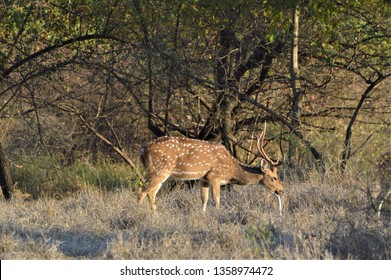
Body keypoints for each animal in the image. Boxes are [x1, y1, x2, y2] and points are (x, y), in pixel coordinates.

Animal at [139, 122, 284, 212]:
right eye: (274, 177)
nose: (281, 191)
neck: (232, 170)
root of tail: (143, 150)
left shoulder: (204, 178)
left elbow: (204, 199)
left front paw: (203, 217)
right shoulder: (215, 176)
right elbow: (217, 199)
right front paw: (218, 216)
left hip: (159, 172)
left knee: (151, 193)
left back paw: (155, 216)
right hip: (159, 170)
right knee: (143, 190)